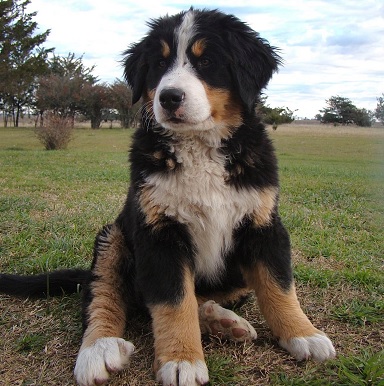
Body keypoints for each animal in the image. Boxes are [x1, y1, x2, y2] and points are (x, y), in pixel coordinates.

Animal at [0, 7, 336, 384]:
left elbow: (278, 286)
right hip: (113, 238)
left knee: (196, 297)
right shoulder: (159, 231)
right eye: (159, 64)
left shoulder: (263, 223)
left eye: (206, 62)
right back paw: (99, 348)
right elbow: (173, 302)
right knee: (105, 294)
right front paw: (182, 360)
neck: (199, 148)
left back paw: (222, 321)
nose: (169, 97)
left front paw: (303, 334)